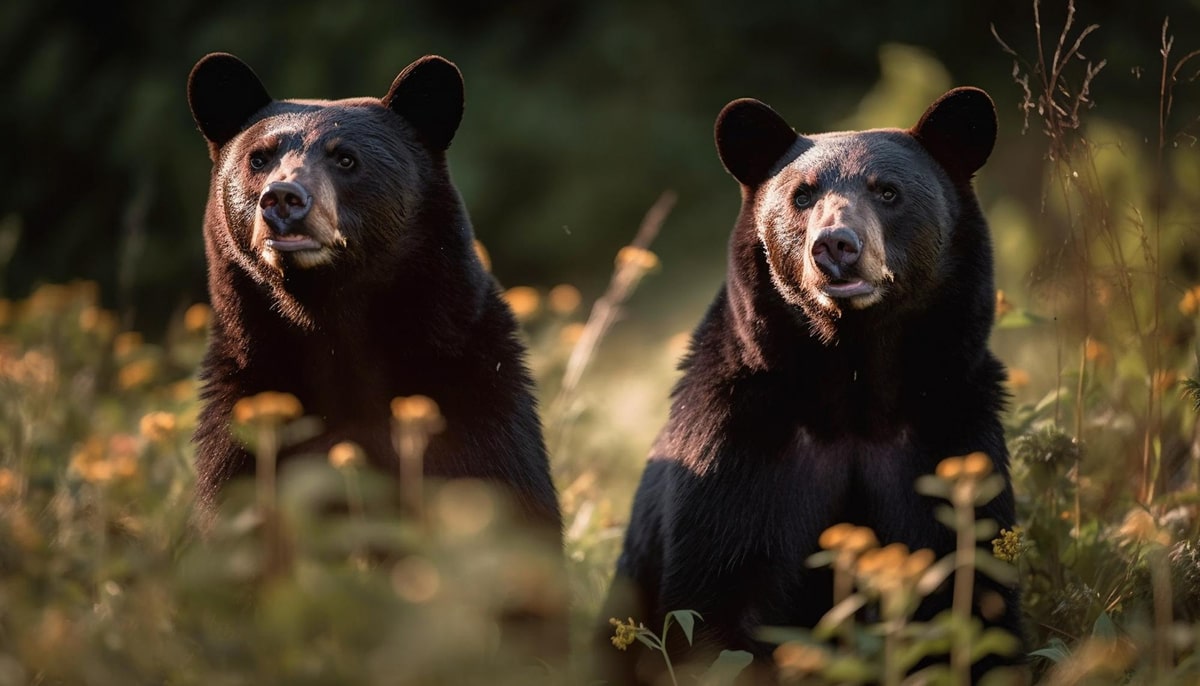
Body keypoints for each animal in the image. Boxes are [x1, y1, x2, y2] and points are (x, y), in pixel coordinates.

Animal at [186, 53, 561, 534]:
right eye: (259, 158)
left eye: (346, 159)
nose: (283, 198)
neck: (331, 319)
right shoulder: (244, 418)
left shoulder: (476, 401)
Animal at [600, 88, 1022, 681]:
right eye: (802, 196)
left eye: (888, 192)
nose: (836, 246)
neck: (851, 385)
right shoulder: (738, 453)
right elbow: (715, 605)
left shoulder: (949, 435)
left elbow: (971, 593)